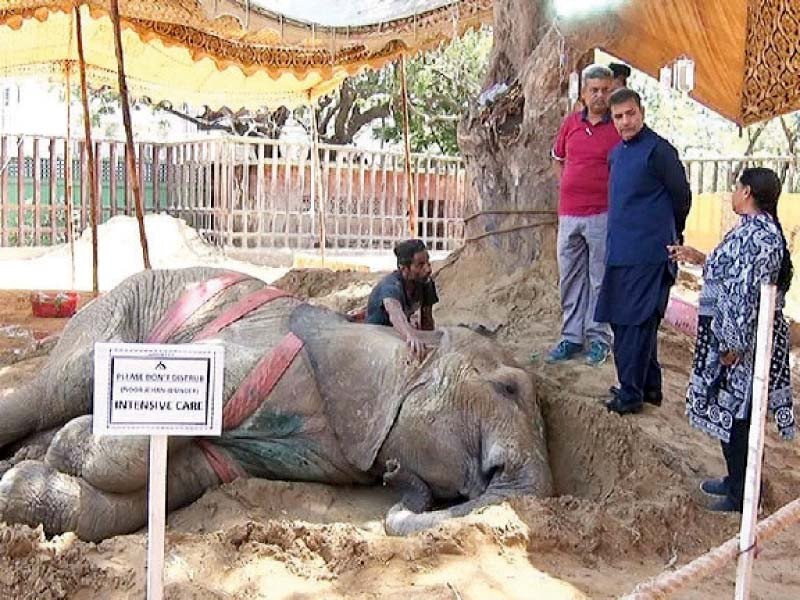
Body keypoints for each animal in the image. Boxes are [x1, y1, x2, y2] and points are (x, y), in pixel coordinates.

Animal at [0, 268, 552, 540]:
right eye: (507, 389)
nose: (397, 478)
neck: (407, 347)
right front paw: (62, 451)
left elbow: (174, 481)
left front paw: (27, 477)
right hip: (117, 308)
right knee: (54, 388)